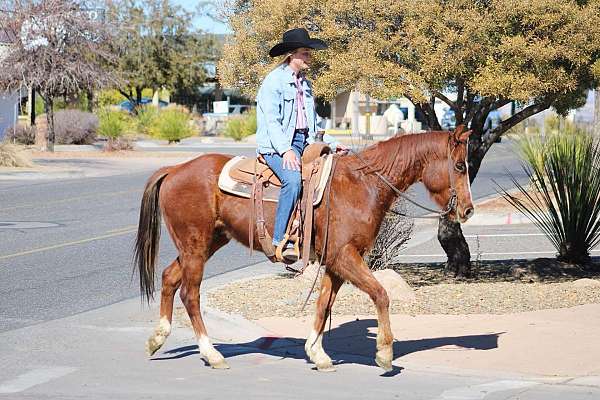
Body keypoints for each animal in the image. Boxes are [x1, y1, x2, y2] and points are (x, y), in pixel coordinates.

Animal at [135, 125, 474, 372]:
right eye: (459, 165)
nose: (468, 210)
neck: (362, 185)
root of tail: (175, 169)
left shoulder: (336, 261)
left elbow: (324, 303)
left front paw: (317, 353)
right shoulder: (345, 256)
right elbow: (380, 294)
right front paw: (385, 351)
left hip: (207, 243)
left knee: (169, 277)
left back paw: (157, 338)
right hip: (195, 245)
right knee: (190, 294)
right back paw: (212, 354)